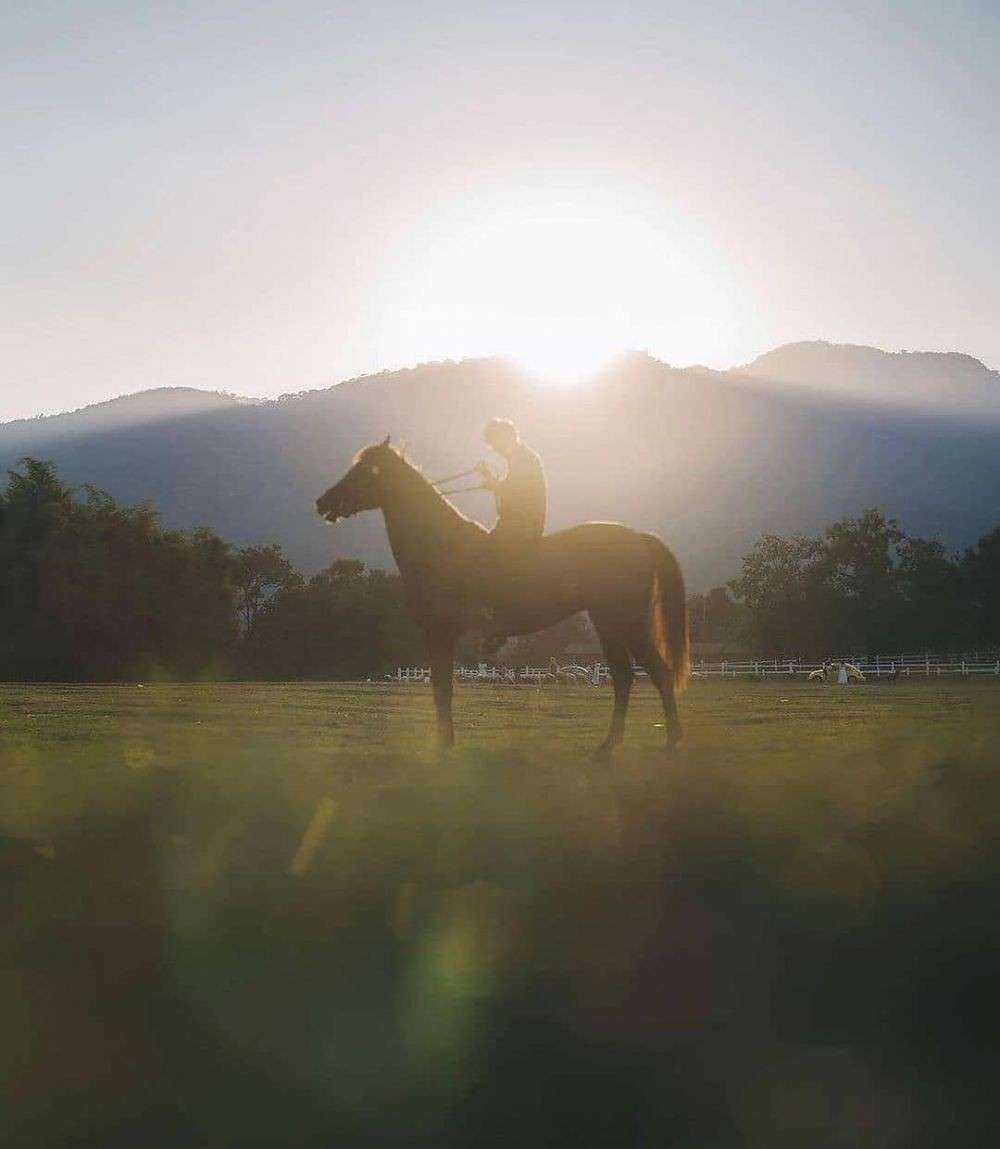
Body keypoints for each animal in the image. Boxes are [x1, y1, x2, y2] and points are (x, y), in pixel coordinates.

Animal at [317, 436, 694, 753]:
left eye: (366, 469)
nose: (323, 502)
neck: (442, 546)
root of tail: (638, 538)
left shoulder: (440, 633)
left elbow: (442, 689)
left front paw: (442, 746)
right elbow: (442, 689)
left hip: (625, 623)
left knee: (657, 674)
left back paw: (671, 742)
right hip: (608, 625)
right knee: (624, 678)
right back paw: (610, 746)